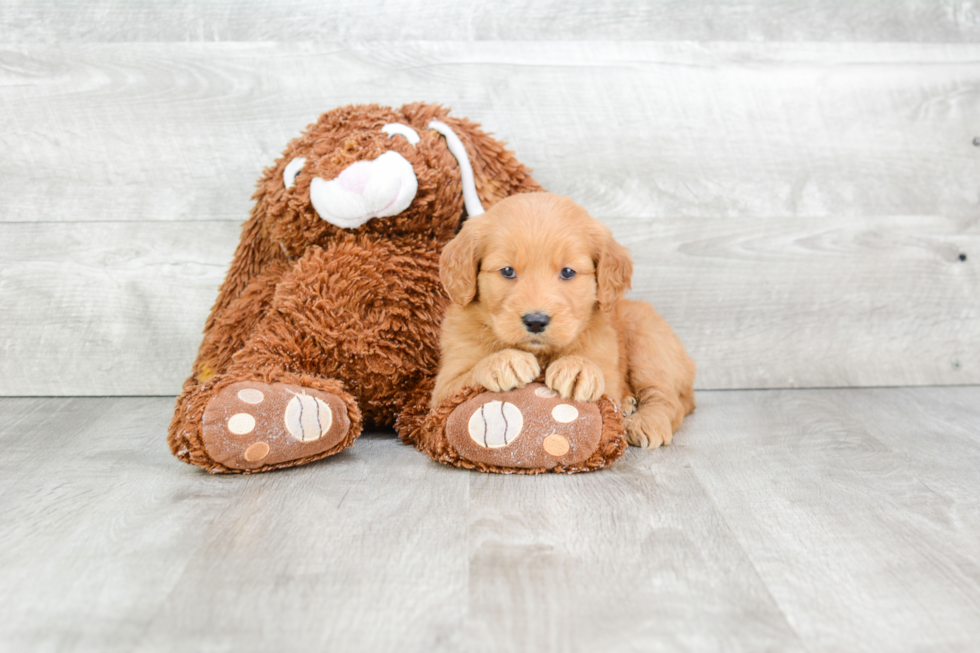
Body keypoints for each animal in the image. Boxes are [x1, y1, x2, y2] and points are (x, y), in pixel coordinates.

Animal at [430, 191, 696, 446]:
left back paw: (645, 421)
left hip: (646, 336)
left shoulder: (610, 379)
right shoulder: (441, 392)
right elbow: (466, 377)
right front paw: (505, 361)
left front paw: (578, 368)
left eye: (567, 272)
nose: (536, 321)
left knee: (668, 399)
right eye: (507, 271)